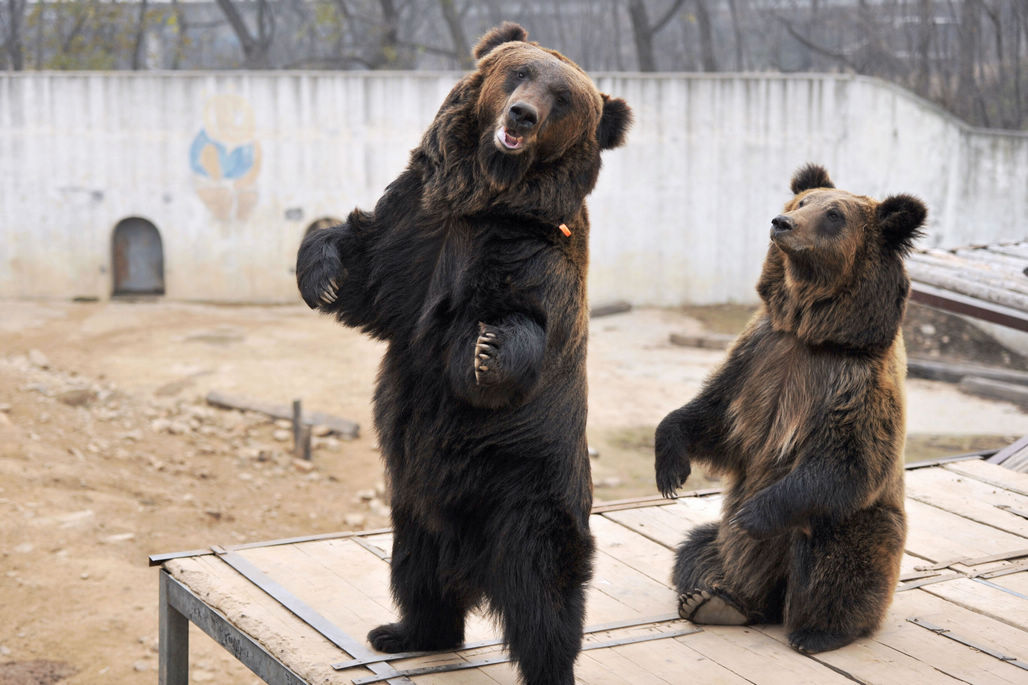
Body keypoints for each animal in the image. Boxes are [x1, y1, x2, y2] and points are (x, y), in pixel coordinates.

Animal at [298, 21, 629, 682]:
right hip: (415, 504)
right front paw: (319, 273)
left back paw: (547, 664)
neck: (488, 197)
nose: (522, 115)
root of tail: (475, 569)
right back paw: (404, 630)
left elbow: (526, 323)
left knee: (545, 595)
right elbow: (369, 272)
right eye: (519, 73)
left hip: (526, 492)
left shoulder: (531, 254)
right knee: (417, 571)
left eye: (564, 99)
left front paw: (487, 348)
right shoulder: (420, 221)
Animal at [653, 164, 929, 650]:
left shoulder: (853, 382)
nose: (781, 223)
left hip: (860, 528)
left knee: (839, 556)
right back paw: (712, 599)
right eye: (802, 202)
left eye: (834, 214)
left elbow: (846, 462)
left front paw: (752, 514)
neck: (811, 332)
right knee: (697, 547)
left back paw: (819, 631)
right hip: (728, 554)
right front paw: (670, 468)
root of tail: (770, 598)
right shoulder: (758, 356)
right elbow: (713, 417)